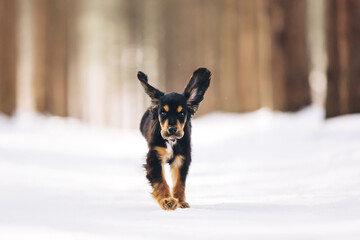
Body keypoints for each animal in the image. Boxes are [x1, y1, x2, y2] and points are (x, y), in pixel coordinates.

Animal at [138, 67, 211, 210]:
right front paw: (167, 200)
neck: (171, 142)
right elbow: (160, 181)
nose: (172, 129)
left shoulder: (181, 158)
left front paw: (180, 201)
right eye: (163, 112)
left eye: (182, 113)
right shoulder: (154, 157)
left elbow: (179, 183)